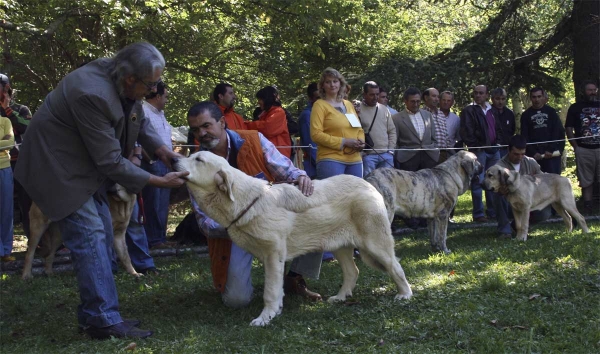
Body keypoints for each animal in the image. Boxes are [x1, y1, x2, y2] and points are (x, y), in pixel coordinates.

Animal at [171, 151, 410, 326]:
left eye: (199, 159)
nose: (172, 158)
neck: (244, 200)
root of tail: (369, 185)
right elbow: (276, 289)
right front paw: (275, 311)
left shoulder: (273, 253)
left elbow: (270, 290)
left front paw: (264, 318)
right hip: (339, 245)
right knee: (353, 271)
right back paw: (340, 297)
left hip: (375, 244)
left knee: (395, 266)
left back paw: (405, 295)